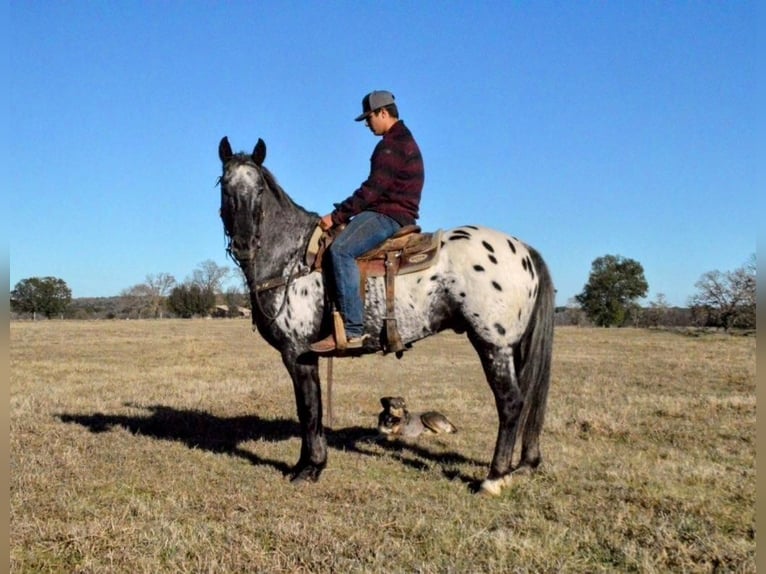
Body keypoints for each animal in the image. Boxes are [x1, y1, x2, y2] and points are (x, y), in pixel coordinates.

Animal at [219, 137, 556, 498]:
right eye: (225, 186)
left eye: (259, 189)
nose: (243, 244)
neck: (293, 259)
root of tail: (523, 249)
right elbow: (315, 409)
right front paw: (309, 465)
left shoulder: (298, 353)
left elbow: (308, 409)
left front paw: (308, 469)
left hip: (493, 344)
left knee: (510, 403)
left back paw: (493, 478)